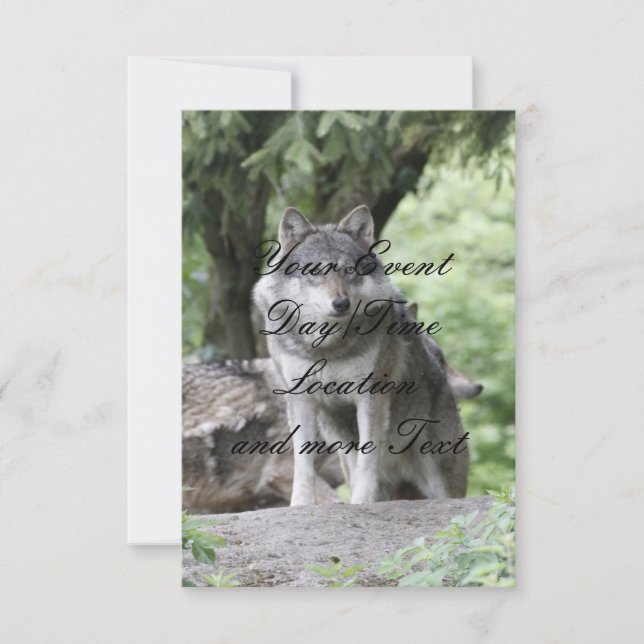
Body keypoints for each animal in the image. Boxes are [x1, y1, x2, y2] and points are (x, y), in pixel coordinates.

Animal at [253, 205, 470, 505]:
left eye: (348, 270)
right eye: (315, 271)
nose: (341, 303)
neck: (327, 346)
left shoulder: (371, 395)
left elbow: (368, 460)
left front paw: (362, 503)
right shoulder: (299, 399)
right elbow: (302, 463)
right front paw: (301, 504)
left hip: (440, 479)